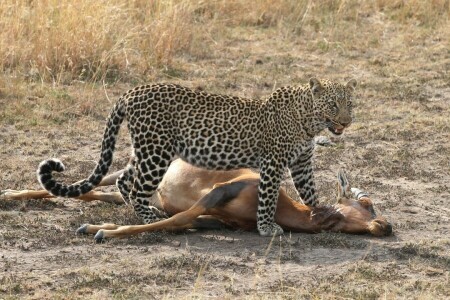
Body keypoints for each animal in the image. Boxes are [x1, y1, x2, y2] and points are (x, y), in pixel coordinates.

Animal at [37, 77, 356, 237]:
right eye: (333, 104)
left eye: (350, 103)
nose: (347, 120)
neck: (309, 121)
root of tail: (132, 92)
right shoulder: (273, 163)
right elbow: (268, 198)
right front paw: (267, 228)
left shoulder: (302, 164)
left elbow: (310, 192)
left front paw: (320, 212)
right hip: (156, 152)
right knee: (138, 187)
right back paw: (149, 215)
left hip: (147, 150)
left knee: (125, 179)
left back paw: (144, 209)